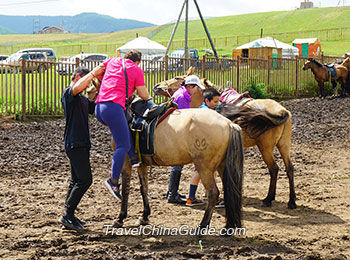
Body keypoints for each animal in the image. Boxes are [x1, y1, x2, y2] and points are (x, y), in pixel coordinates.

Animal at [87, 82, 245, 231]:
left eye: (89, 91)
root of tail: (228, 124)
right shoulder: (142, 164)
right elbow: (144, 188)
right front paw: (144, 216)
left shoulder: (126, 162)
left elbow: (125, 189)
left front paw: (120, 218)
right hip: (222, 166)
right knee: (229, 192)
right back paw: (228, 227)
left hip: (204, 167)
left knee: (213, 193)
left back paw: (202, 226)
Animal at [152, 68, 296, 209]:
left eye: (177, 78)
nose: (156, 86)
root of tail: (282, 111)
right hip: (283, 145)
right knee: (289, 168)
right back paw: (291, 201)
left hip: (265, 147)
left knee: (274, 169)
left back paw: (268, 199)